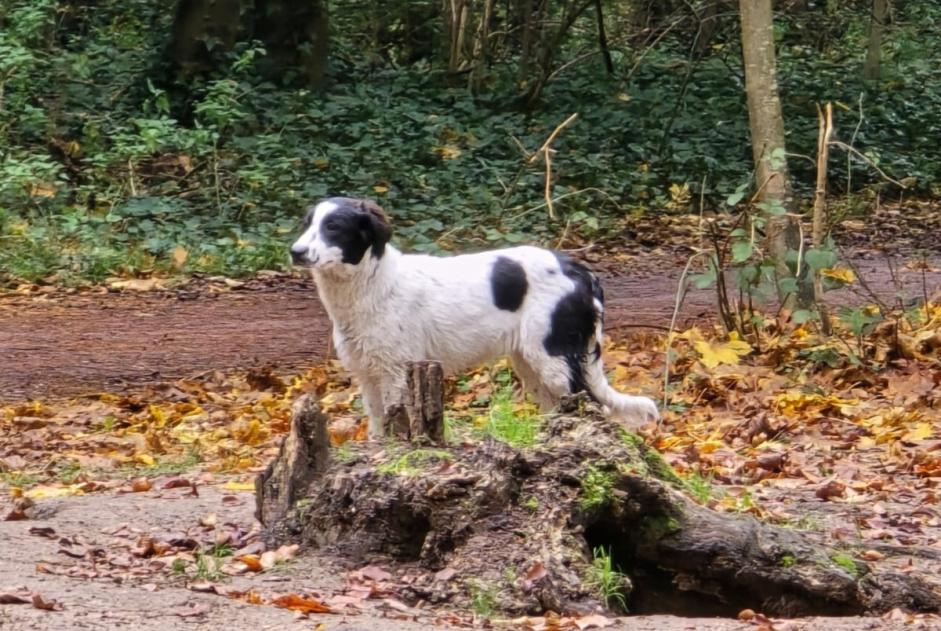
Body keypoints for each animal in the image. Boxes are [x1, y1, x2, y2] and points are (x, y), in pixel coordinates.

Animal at [290, 198, 656, 440]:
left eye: (333, 227)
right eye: (306, 224)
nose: (295, 252)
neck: (373, 282)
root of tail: (580, 271)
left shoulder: (395, 371)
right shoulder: (366, 373)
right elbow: (378, 428)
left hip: (553, 360)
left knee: (592, 408)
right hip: (531, 364)